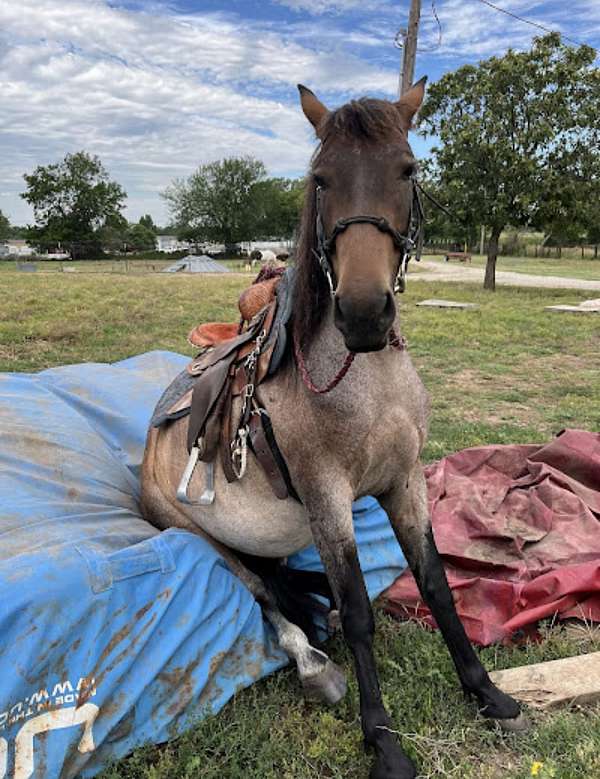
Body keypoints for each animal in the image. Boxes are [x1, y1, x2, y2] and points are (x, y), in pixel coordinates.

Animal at [141, 79, 524, 779]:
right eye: (320, 179)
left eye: (408, 169)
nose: (365, 313)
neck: (367, 382)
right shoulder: (328, 500)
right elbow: (359, 609)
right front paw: (383, 740)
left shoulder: (405, 482)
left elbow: (437, 585)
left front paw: (487, 693)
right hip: (197, 534)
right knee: (263, 593)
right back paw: (314, 660)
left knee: (286, 583)